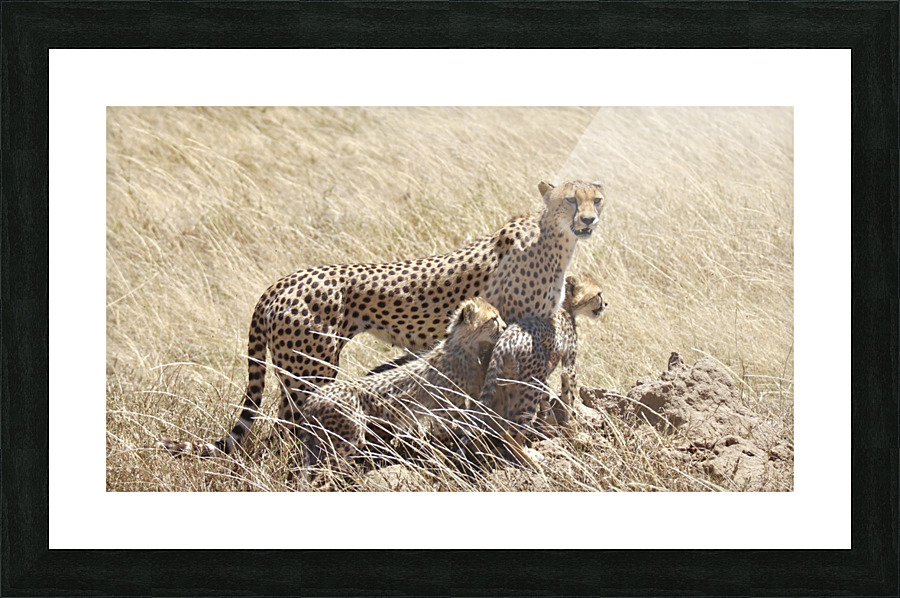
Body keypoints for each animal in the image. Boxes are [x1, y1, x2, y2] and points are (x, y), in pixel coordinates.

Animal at [294, 297, 505, 477]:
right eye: (493, 319)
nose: (504, 327)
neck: (465, 347)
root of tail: (314, 397)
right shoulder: (443, 410)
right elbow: (446, 437)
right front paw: (448, 460)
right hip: (346, 440)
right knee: (323, 474)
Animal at [476, 273, 607, 452]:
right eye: (598, 294)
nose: (605, 304)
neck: (565, 306)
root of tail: (506, 338)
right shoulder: (568, 368)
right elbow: (570, 399)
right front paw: (574, 431)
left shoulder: (544, 371)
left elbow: (548, 396)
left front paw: (550, 424)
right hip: (531, 383)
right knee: (512, 431)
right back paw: (530, 455)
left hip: (512, 381)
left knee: (506, 423)